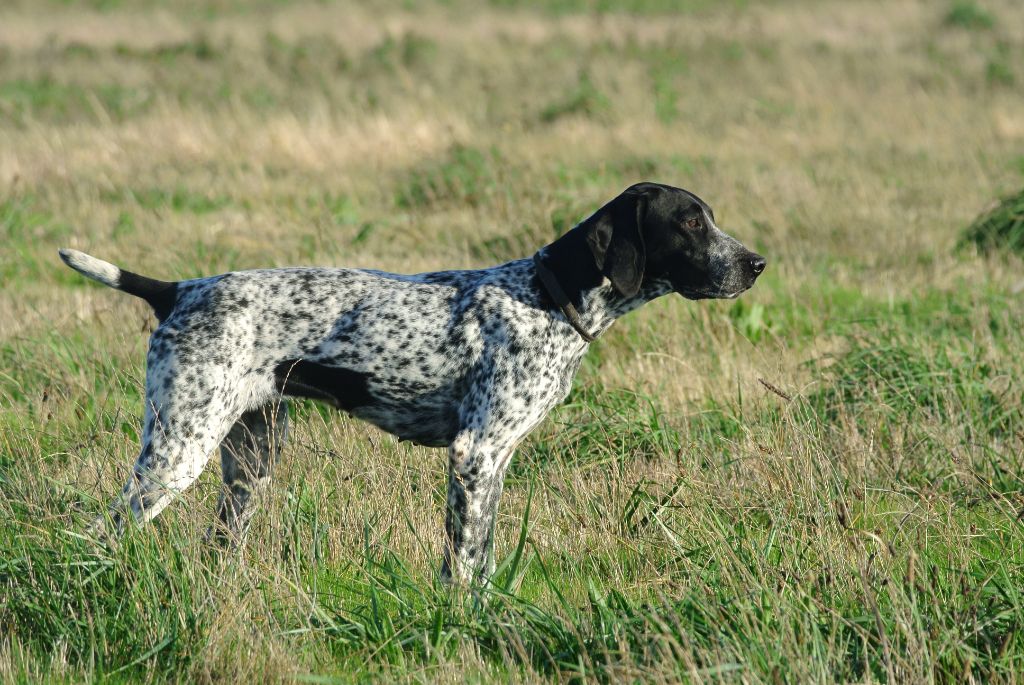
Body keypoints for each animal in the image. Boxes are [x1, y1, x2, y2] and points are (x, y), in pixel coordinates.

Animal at [59, 181, 765, 581]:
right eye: (690, 222)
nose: (757, 263)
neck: (546, 297)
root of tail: (178, 290)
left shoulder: (493, 465)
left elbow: (480, 558)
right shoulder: (475, 455)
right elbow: (463, 565)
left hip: (250, 460)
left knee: (217, 544)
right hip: (177, 451)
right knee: (99, 532)